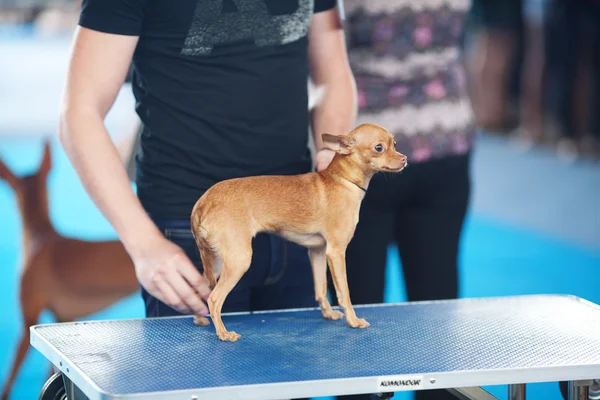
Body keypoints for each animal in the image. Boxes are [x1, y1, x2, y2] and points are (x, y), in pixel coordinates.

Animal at [192, 123, 408, 342]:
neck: (341, 180)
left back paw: (200, 319)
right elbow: (344, 293)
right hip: (239, 260)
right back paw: (223, 333)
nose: (404, 159)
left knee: (199, 287)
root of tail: (203, 202)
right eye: (379, 148)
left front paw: (328, 314)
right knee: (214, 298)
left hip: (218, 261)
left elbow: (320, 289)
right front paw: (353, 321)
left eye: (395, 144)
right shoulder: (336, 252)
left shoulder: (318, 251)